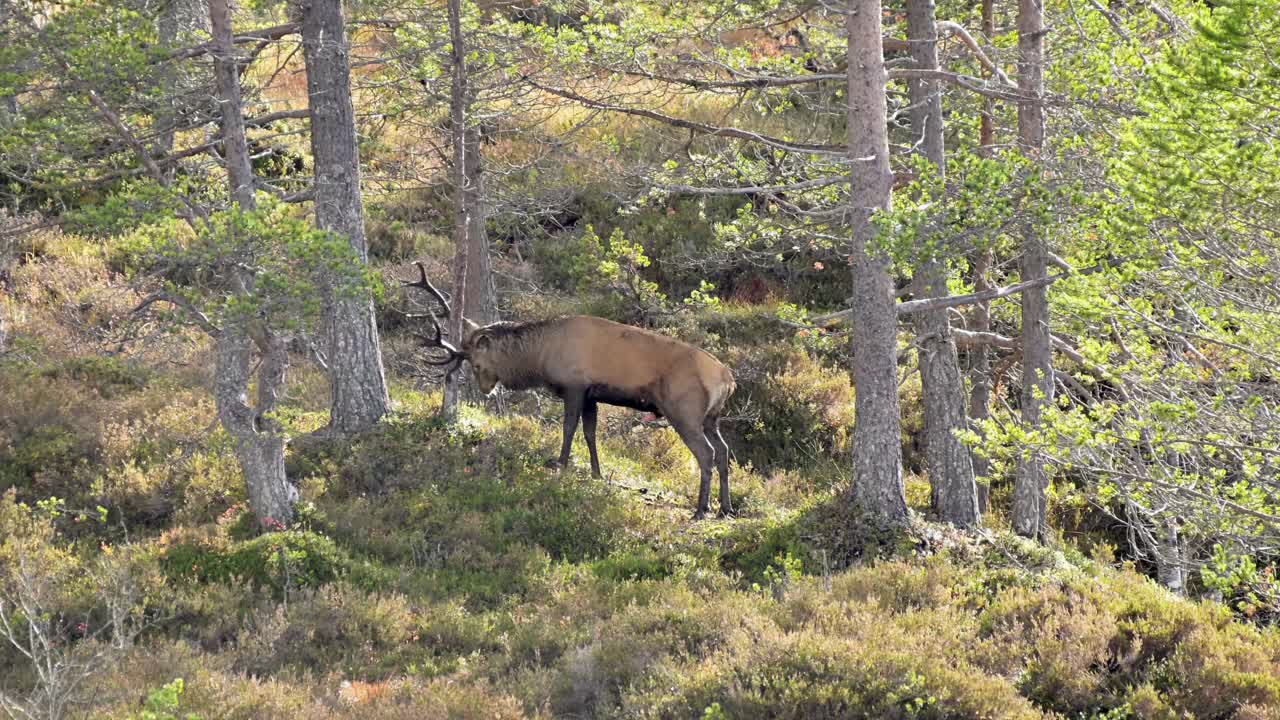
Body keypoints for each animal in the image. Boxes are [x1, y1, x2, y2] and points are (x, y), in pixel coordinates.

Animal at [404, 263, 736, 518]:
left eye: (475, 362)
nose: (486, 390)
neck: (541, 357)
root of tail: (728, 380)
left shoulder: (574, 386)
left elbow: (568, 428)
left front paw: (559, 463)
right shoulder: (592, 395)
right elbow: (590, 433)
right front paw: (596, 472)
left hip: (684, 411)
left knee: (706, 453)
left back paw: (702, 509)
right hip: (712, 417)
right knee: (723, 451)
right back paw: (726, 508)